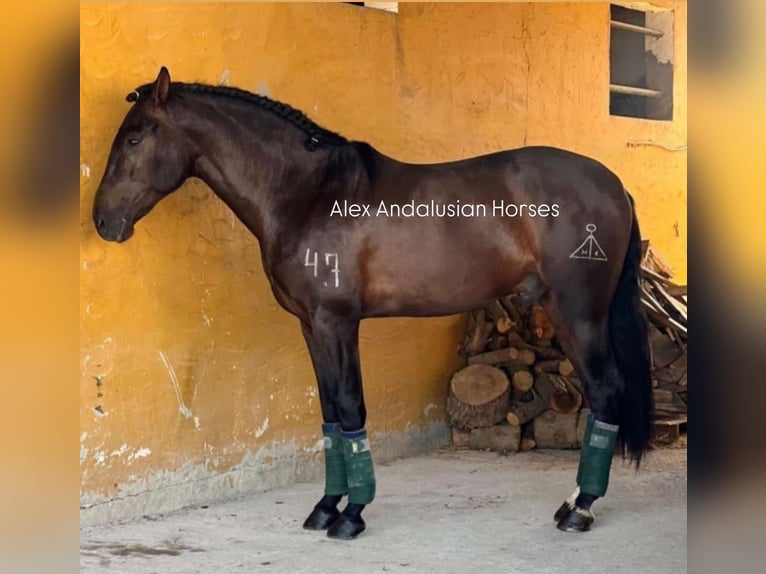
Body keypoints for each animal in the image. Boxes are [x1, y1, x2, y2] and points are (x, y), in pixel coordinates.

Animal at [91, 67, 656, 540]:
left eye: (135, 138)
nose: (103, 221)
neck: (307, 194)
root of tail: (615, 185)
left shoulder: (337, 322)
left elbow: (349, 407)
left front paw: (352, 514)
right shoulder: (310, 326)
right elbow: (329, 415)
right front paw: (325, 507)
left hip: (578, 312)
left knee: (605, 391)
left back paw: (580, 508)